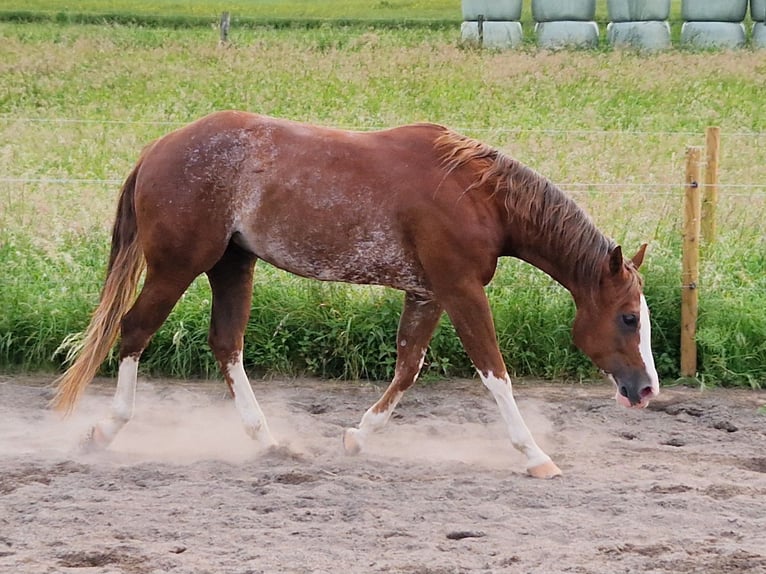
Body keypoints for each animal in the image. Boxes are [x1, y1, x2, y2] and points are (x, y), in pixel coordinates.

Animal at [51, 111, 659, 479]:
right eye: (629, 318)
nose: (647, 390)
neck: (477, 195)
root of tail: (158, 148)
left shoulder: (428, 293)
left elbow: (408, 368)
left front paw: (357, 437)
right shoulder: (461, 290)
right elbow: (496, 375)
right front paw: (536, 456)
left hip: (232, 266)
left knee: (226, 345)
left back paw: (268, 442)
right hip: (178, 267)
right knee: (134, 331)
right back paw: (104, 431)